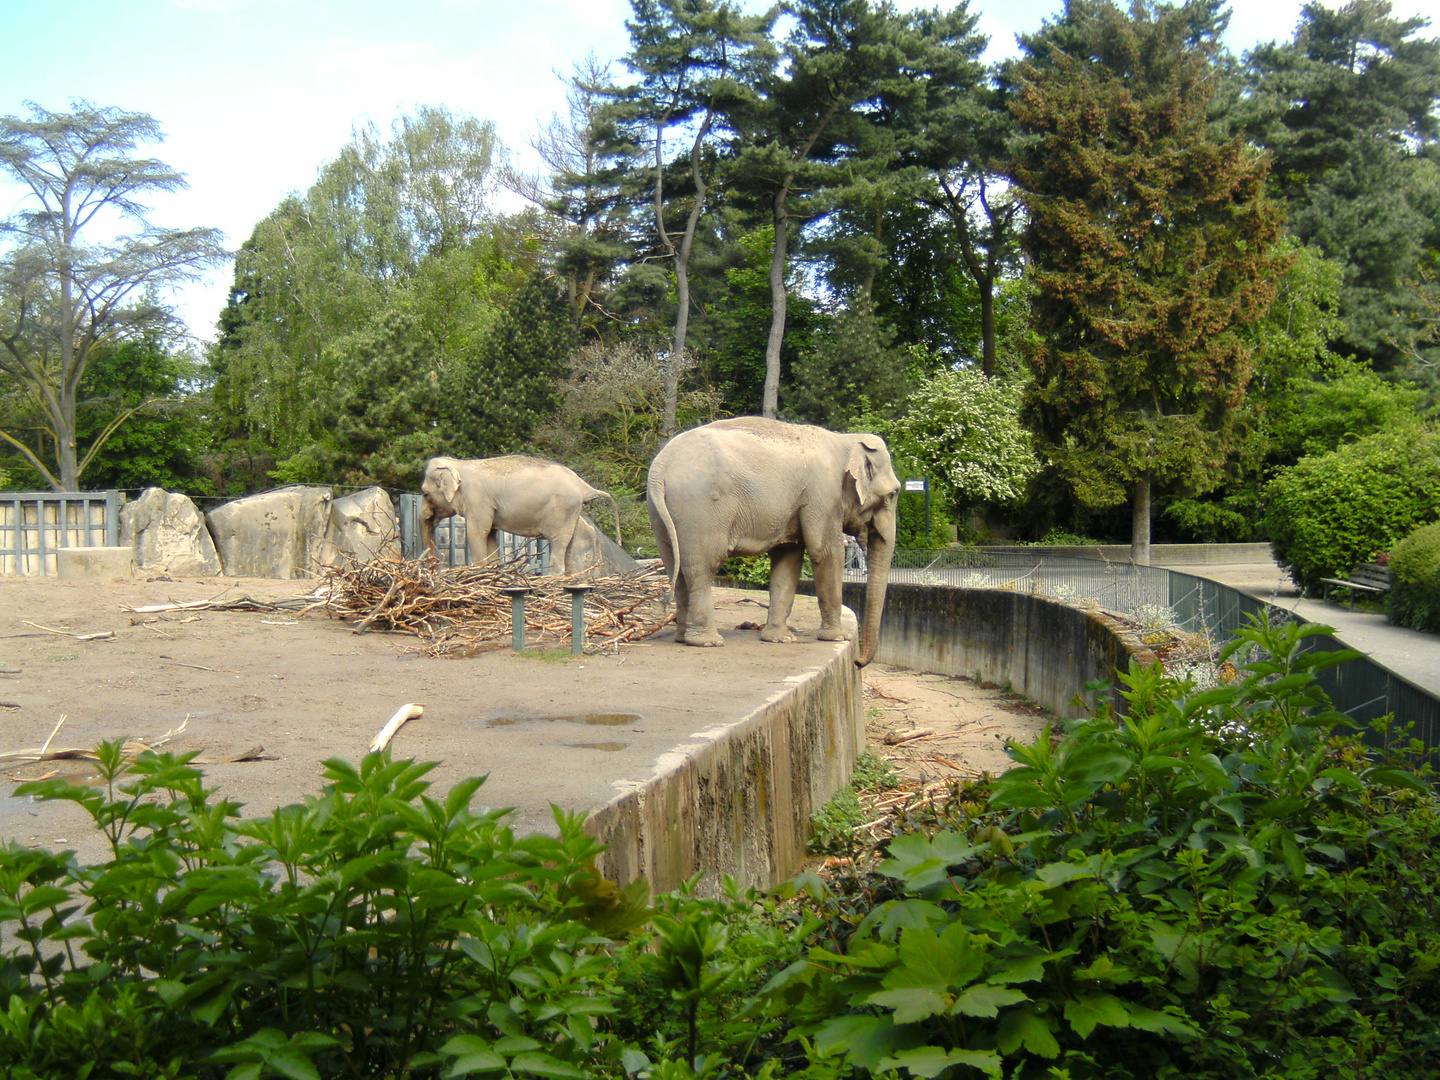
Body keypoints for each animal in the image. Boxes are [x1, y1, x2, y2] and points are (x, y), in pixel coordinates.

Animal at [417, 455, 619, 578]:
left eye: (425, 493)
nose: (435, 570)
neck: (459, 464)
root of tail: (583, 486)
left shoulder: (478, 499)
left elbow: (477, 532)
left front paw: (478, 571)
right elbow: (490, 535)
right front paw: (493, 571)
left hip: (562, 508)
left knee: (559, 542)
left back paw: (553, 577)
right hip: (571, 510)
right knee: (576, 538)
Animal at [650, 417, 898, 665]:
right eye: (893, 494)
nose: (857, 661)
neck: (844, 440)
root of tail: (659, 467)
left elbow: (788, 558)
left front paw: (780, 639)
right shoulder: (823, 496)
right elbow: (825, 552)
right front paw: (838, 637)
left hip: (664, 517)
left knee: (676, 568)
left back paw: (682, 637)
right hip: (700, 510)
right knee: (703, 568)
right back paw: (708, 642)